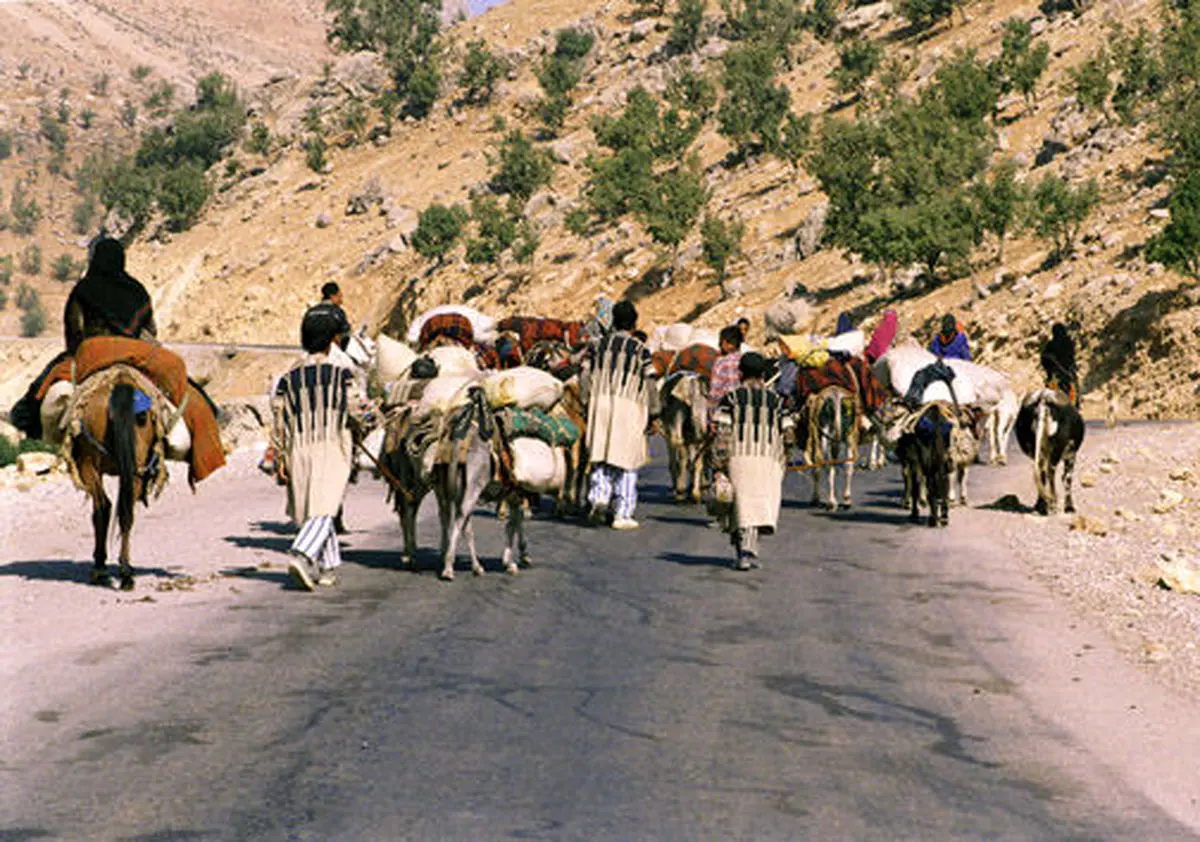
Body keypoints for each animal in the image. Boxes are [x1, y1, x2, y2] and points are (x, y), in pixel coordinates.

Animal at [68, 369, 166, 594]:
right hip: (135, 467)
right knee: (125, 511)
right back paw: (126, 573)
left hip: (89, 464)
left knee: (103, 508)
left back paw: (100, 569)